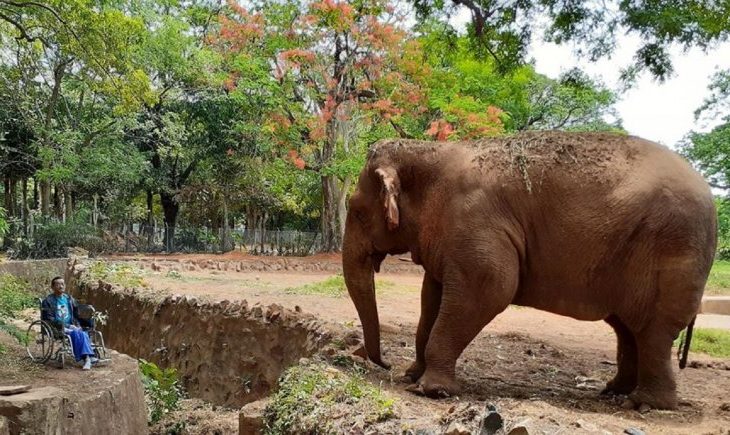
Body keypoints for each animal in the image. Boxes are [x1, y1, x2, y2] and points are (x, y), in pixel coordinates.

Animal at [342, 131, 716, 410]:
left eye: (356, 210)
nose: (383, 364)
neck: (427, 153)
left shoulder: (476, 223)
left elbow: (490, 288)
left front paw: (429, 390)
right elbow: (431, 298)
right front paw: (413, 375)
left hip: (671, 250)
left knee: (653, 331)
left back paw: (644, 404)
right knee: (628, 328)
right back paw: (614, 391)